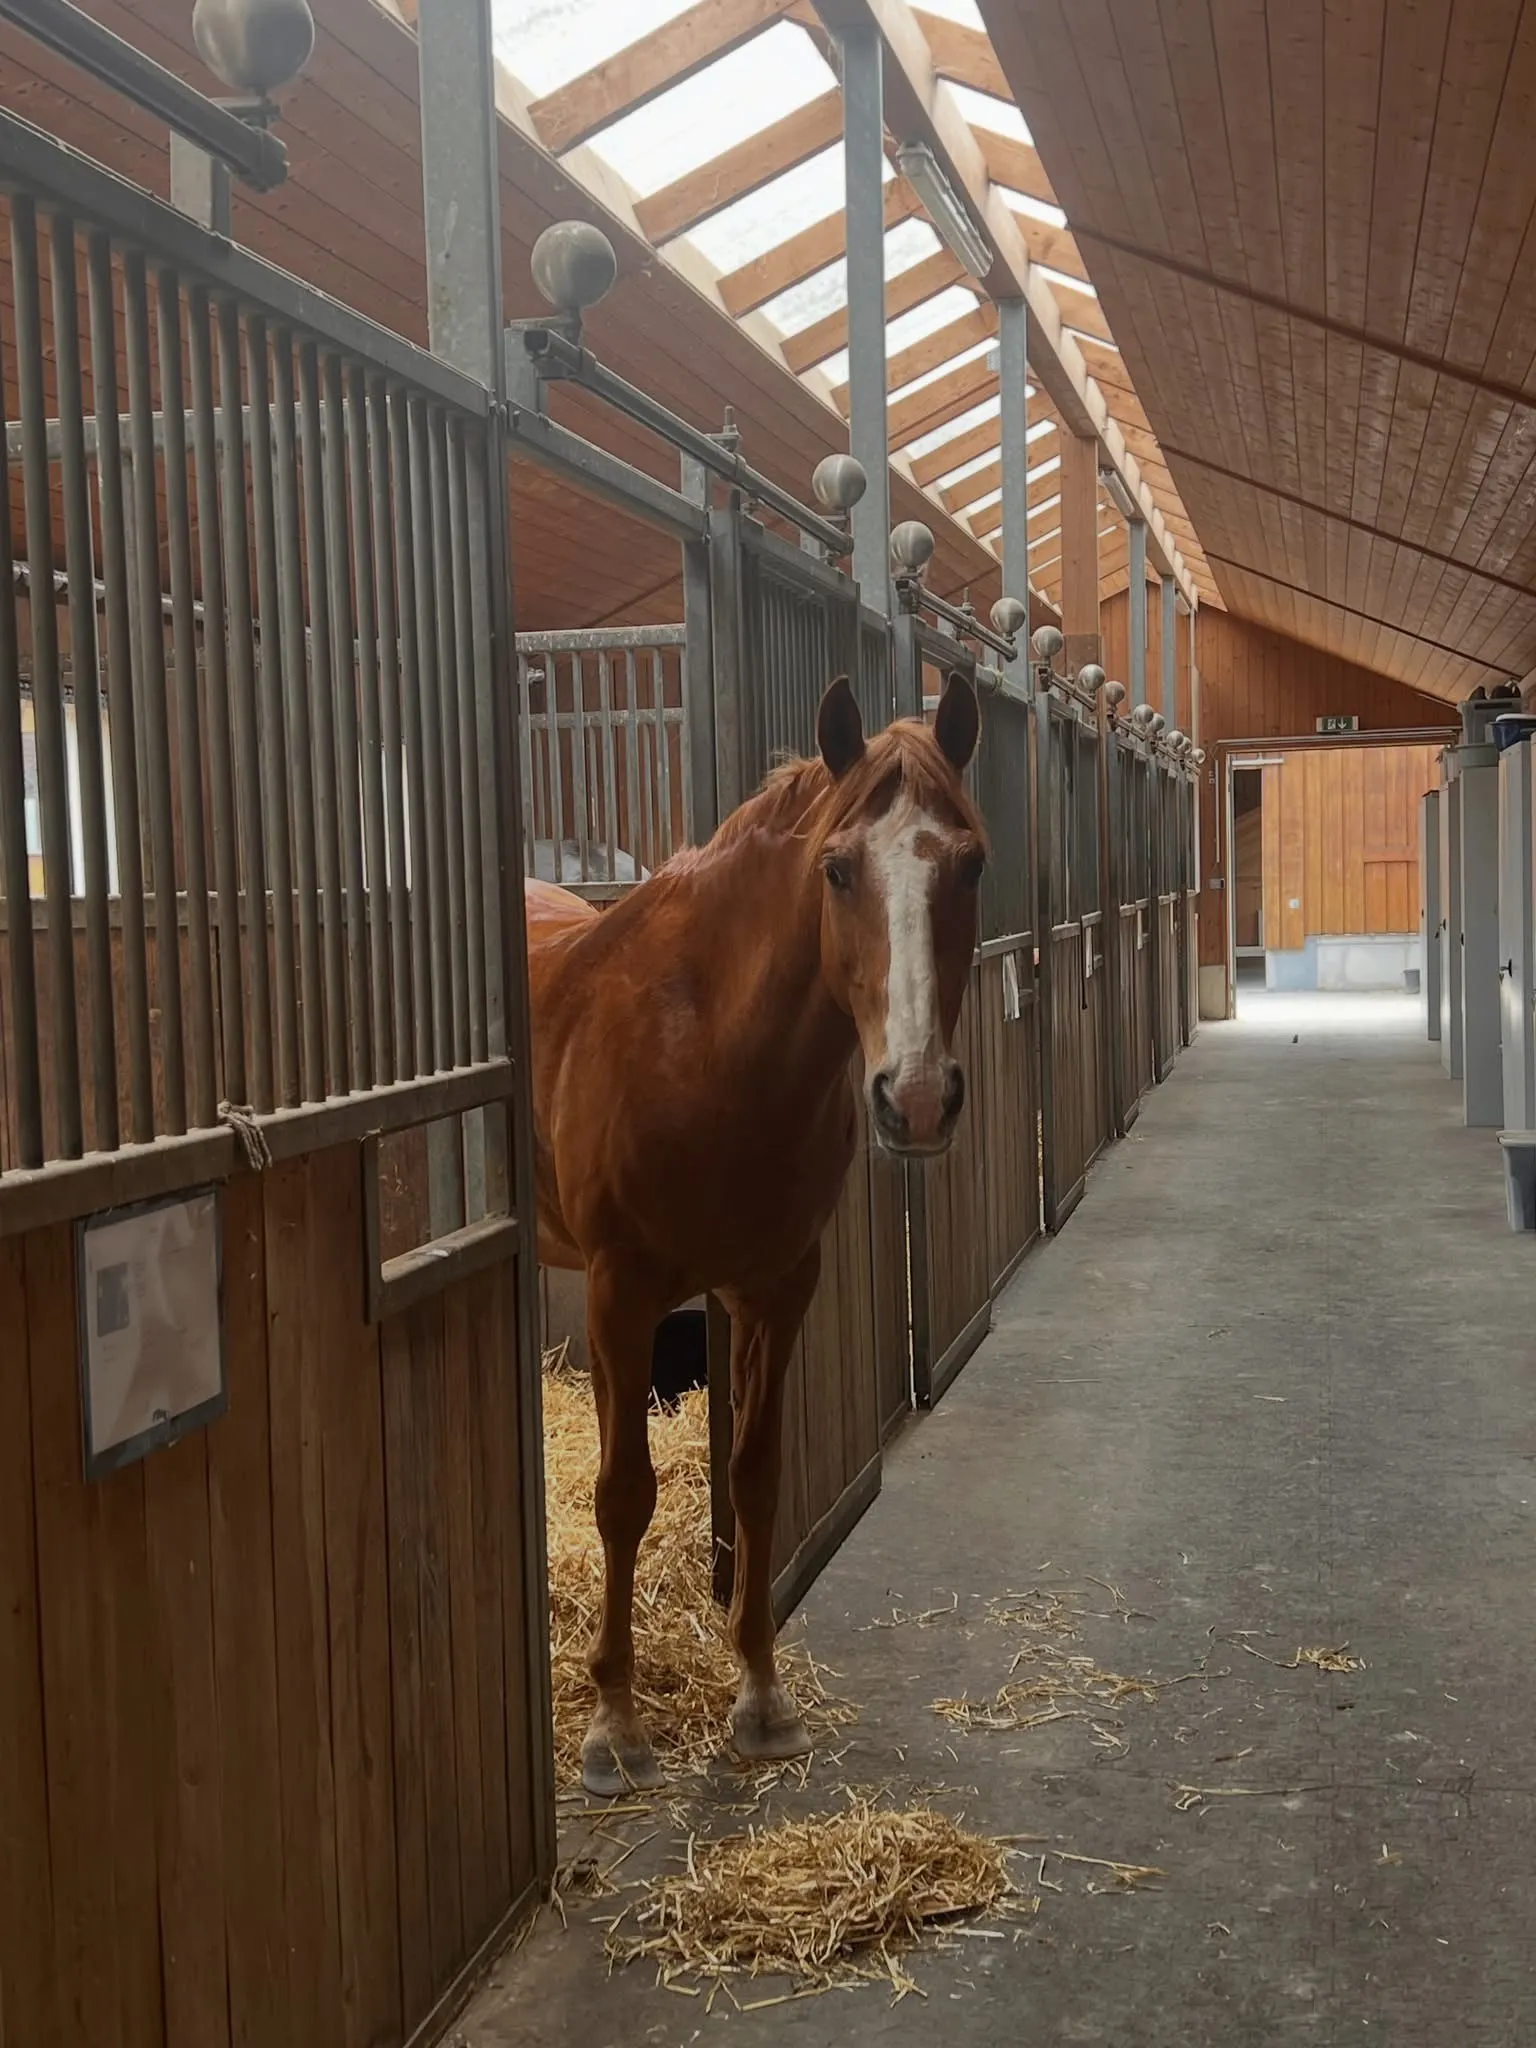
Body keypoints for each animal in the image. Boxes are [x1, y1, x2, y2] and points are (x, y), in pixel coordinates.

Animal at [526, 671, 986, 1795]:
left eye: (971, 863)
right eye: (836, 869)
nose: (915, 1099)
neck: (703, 1043)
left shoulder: (776, 1287)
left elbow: (758, 1479)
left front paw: (763, 1697)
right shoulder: (622, 1291)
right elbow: (623, 1494)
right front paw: (614, 1724)